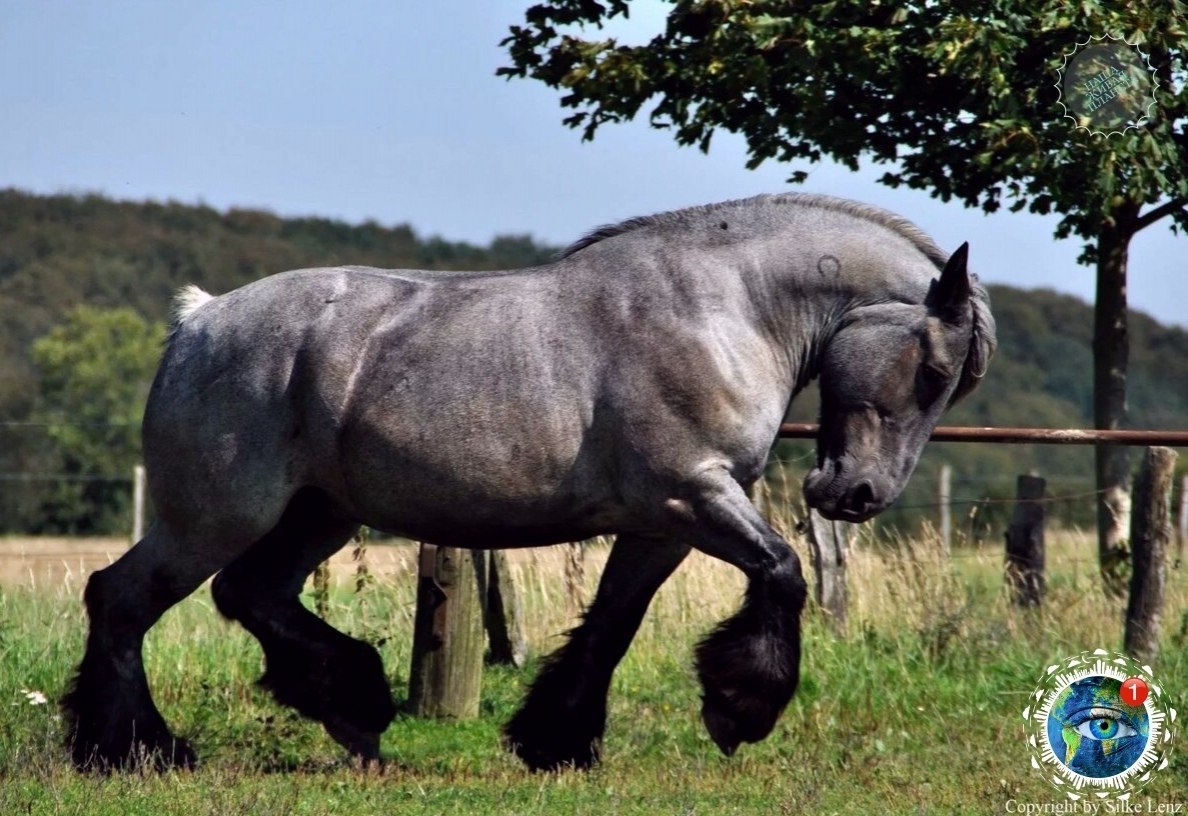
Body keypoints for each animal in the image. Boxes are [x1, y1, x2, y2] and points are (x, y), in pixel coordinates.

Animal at [62, 191, 993, 774]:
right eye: (931, 368)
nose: (857, 497)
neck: (724, 307)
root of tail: (199, 321)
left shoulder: (661, 524)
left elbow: (613, 624)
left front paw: (555, 740)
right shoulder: (695, 497)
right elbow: (785, 572)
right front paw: (739, 709)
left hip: (317, 515)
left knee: (251, 595)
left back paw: (355, 711)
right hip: (216, 515)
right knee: (122, 598)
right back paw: (133, 750)